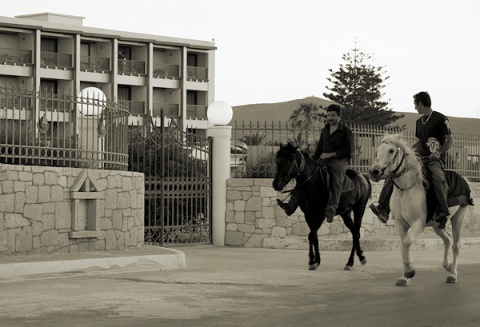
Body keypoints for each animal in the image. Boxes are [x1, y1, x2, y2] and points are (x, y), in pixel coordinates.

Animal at [272, 144, 374, 272]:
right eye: (277, 162)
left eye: (286, 162)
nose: (275, 184)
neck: (311, 183)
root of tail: (363, 177)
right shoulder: (308, 215)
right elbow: (314, 236)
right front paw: (316, 260)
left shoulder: (320, 215)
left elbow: (311, 236)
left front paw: (312, 261)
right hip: (345, 213)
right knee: (355, 234)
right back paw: (356, 259)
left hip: (359, 209)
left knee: (356, 234)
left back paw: (353, 261)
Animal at [368, 135, 472, 286]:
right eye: (377, 150)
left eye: (391, 150)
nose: (374, 172)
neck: (406, 189)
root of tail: (464, 179)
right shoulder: (400, 224)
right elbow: (403, 248)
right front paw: (404, 277)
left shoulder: (418, 223)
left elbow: (407, 242)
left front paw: (410, 271)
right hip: (437, 224)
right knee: (447, 239)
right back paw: (447, 266)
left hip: (458, 217)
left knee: (456, 245)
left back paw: (453, 274)